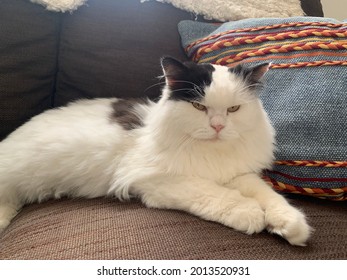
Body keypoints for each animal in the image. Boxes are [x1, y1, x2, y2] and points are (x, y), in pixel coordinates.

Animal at [0, 57, 312, 245]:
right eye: (198, 107)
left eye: (233, 109)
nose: (218, 126)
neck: (210, 155)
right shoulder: (156, 180)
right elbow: (215, 194)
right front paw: (249, 213)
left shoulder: (236, 175)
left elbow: (268, 195)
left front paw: (291, 223)